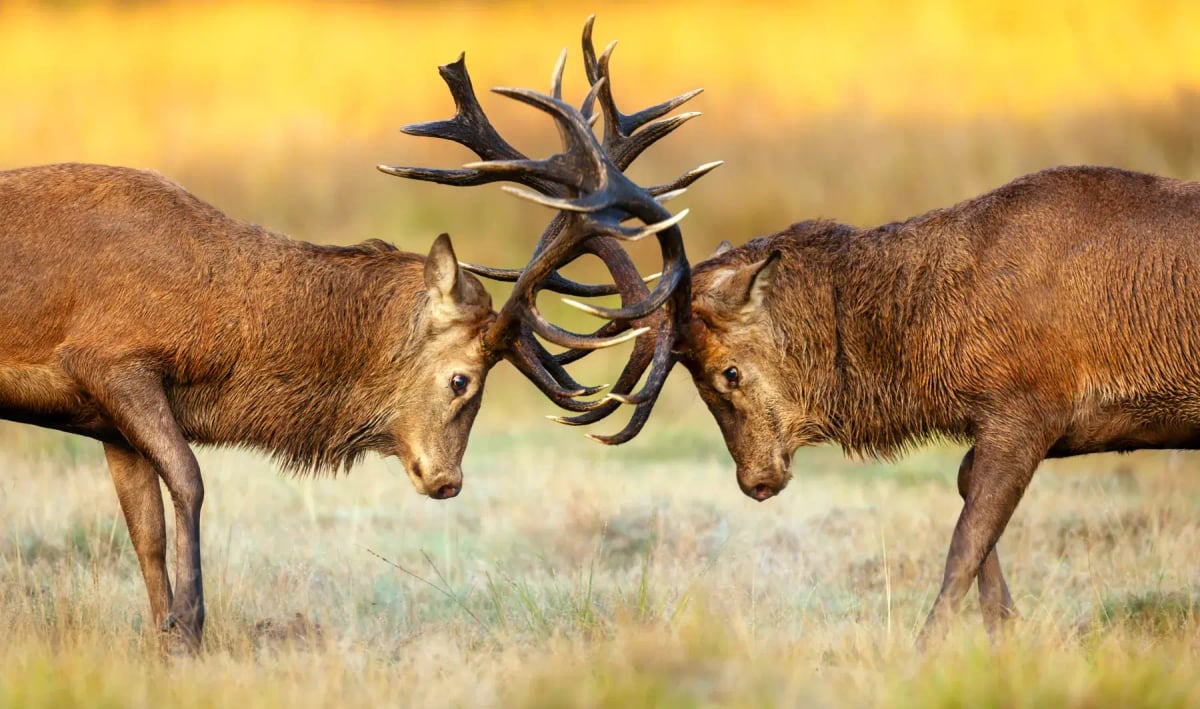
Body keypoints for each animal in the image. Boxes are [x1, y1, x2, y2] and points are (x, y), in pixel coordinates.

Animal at [0, 16, 715, 654]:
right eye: (461, 380)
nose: (448, 481)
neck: (213, 331)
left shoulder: (108, 421)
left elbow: (144, 531)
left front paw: (165, 638)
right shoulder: (109, 359)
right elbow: (191, 480)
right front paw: (193, 627)